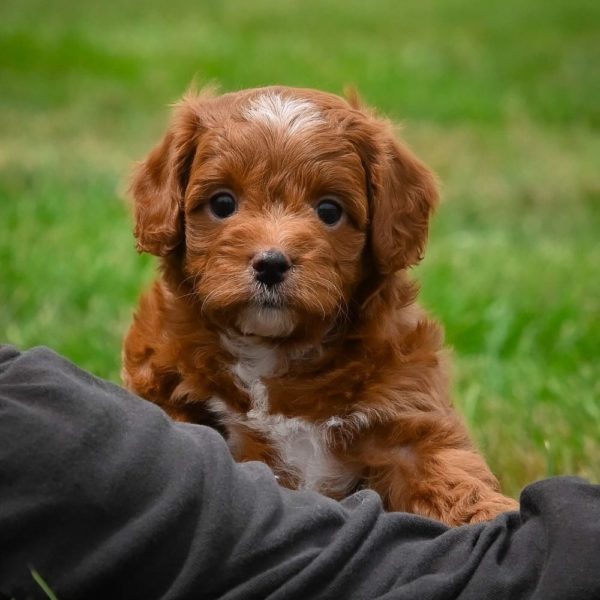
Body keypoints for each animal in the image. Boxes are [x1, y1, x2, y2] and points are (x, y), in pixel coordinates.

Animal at [120, 84, 516, 524]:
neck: (272, 350)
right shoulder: (168, 390)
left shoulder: (408, 416)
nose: (271, 263)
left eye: (329, 210)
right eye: (222, 203)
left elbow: (451, 476)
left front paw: (496, 518)